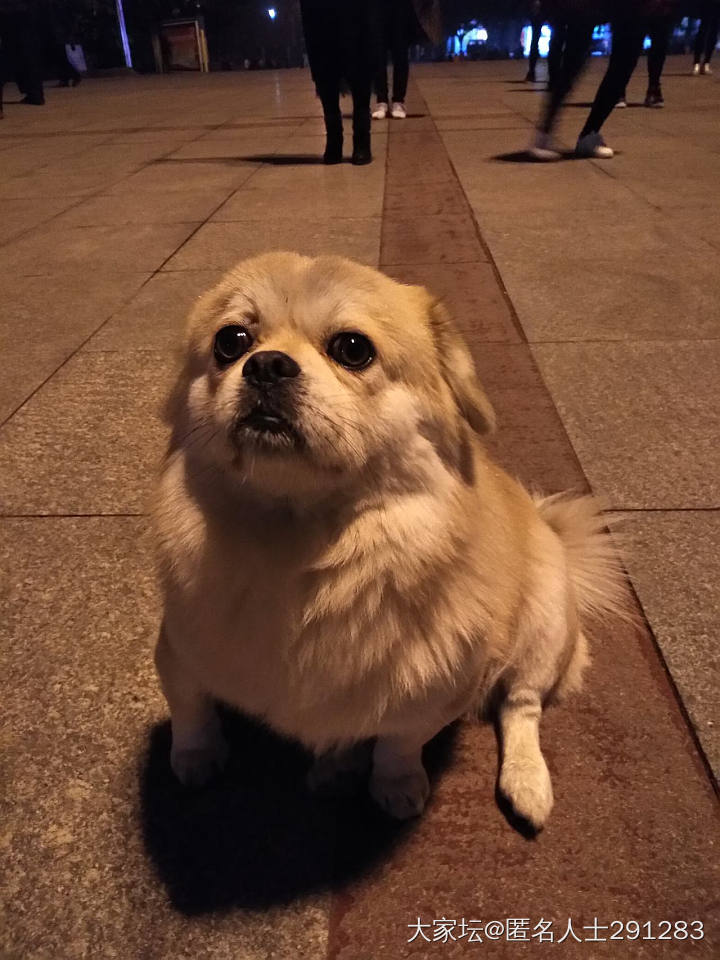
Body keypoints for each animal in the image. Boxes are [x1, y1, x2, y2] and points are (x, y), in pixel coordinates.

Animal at [153, 251, 632, 828]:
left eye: (352, 349)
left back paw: (526, 783)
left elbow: (400, 743)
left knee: (521, 706)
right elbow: (191, 711)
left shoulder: (434, 692)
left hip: (542, 631)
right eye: (231, 341)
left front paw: (397, 785)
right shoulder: (178, 650)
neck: (301, 549)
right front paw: (196, 758)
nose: (266, 364)